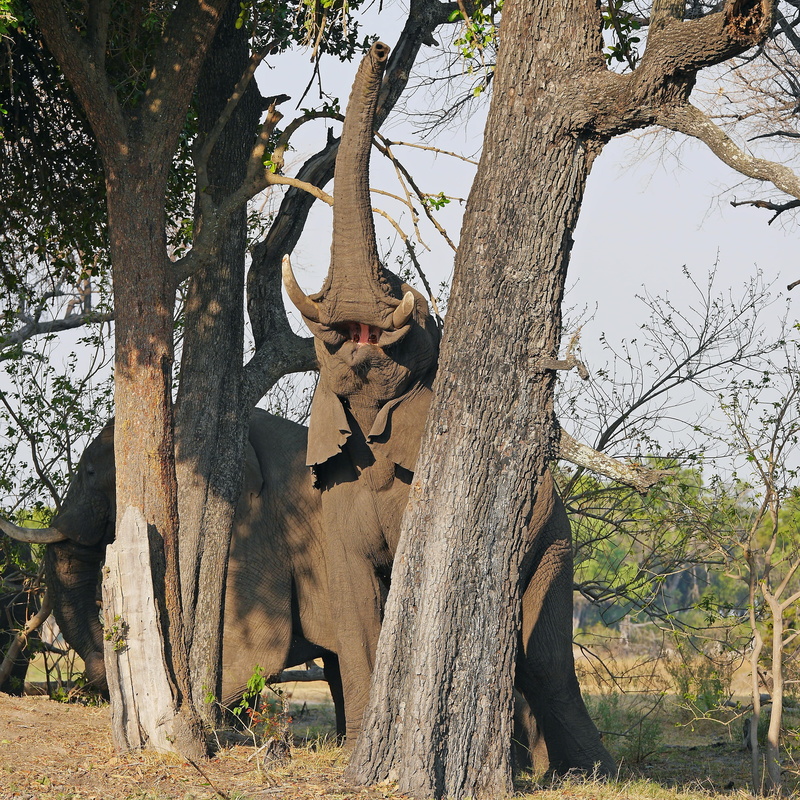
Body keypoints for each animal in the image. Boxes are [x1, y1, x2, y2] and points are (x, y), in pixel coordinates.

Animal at [282, 41, 615, 775]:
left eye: (413, 313)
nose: (378, 46)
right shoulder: (334, 496)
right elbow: (354, 599)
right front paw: (358, 750)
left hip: (555, 540)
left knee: (543, 657)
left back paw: (584, 772)